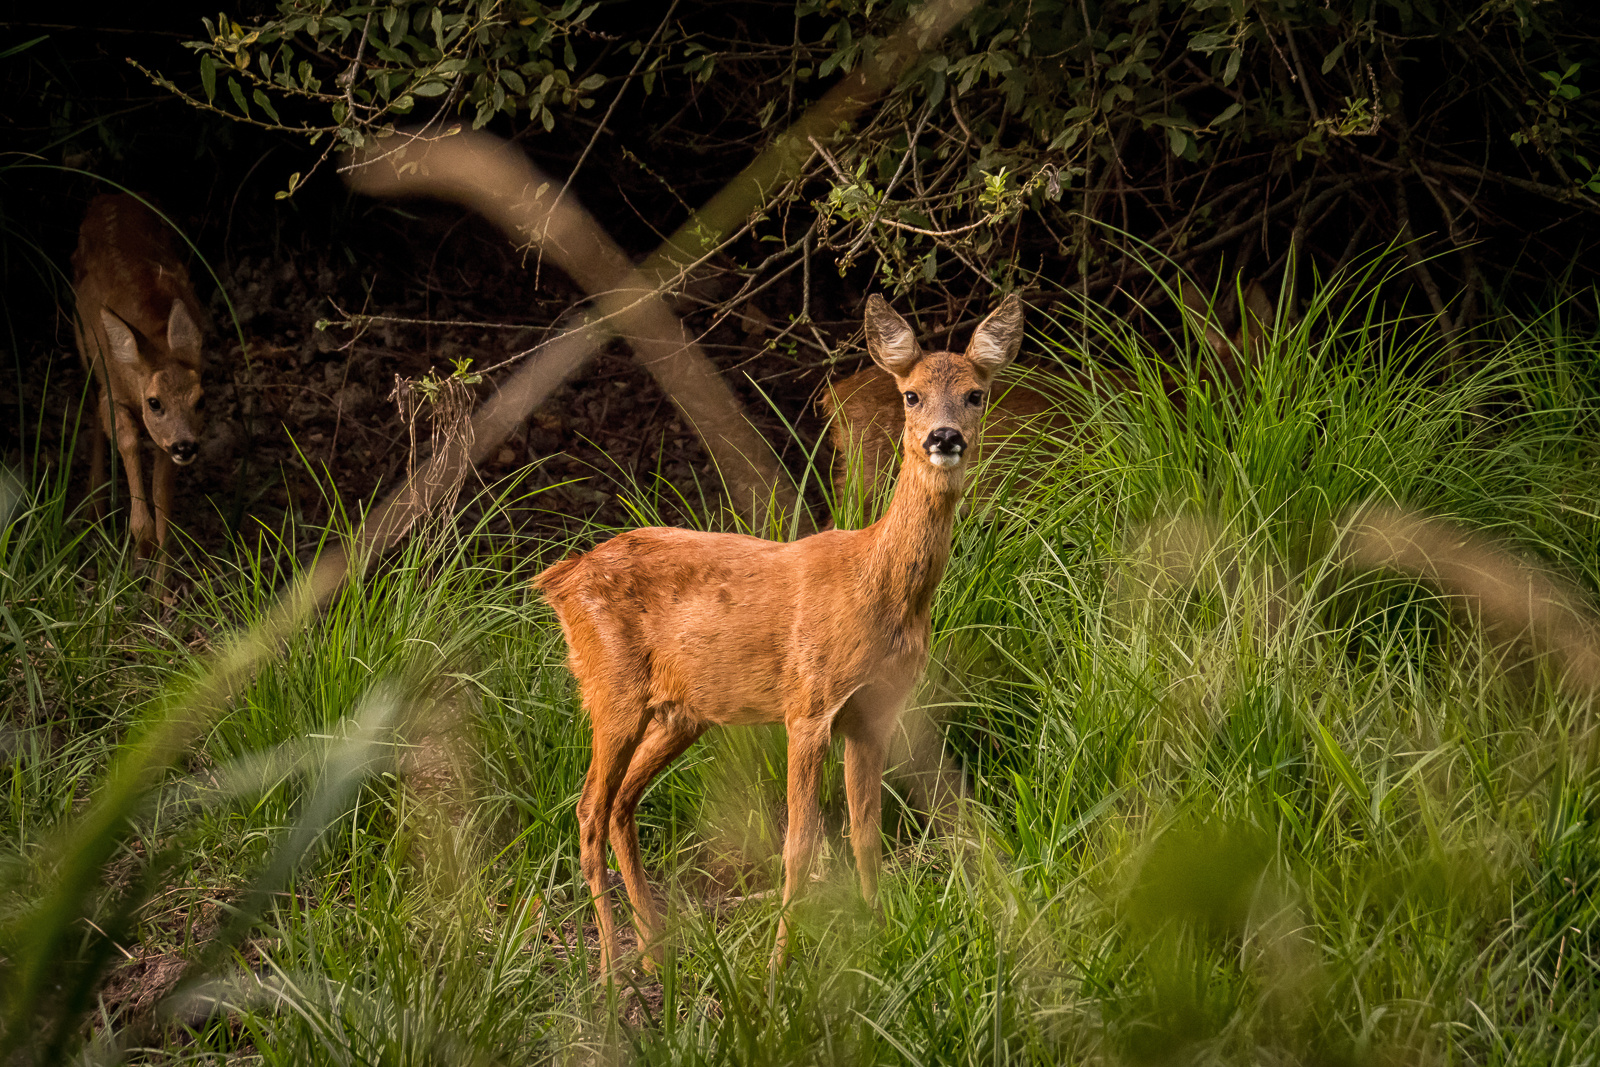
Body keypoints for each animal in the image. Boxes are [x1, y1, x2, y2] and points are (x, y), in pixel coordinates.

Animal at [72, 191, 206, 591]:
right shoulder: (114, 393)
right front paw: (140, 541)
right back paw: (94, 509)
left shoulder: (165, 438)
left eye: (200, 400)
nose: (186, 446)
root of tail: (108, 194)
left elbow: (163, 496)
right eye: (154, 402)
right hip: (82, 344)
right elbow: (126, 439)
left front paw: (160, 593)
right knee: (93, 411)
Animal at [531, 289, 1017, 979]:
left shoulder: (874, 712)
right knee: (589, 809)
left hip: (681, 711)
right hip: (611, 686)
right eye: (912, 394)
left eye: (976, 394)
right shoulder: (808, 703)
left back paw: (656, 953)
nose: (943, 438)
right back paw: (610, 965)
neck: (876, 585)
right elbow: (801, 843)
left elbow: (865, 832)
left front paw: (879, 941)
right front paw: (779, 968)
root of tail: (562, 577)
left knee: (622, 805)